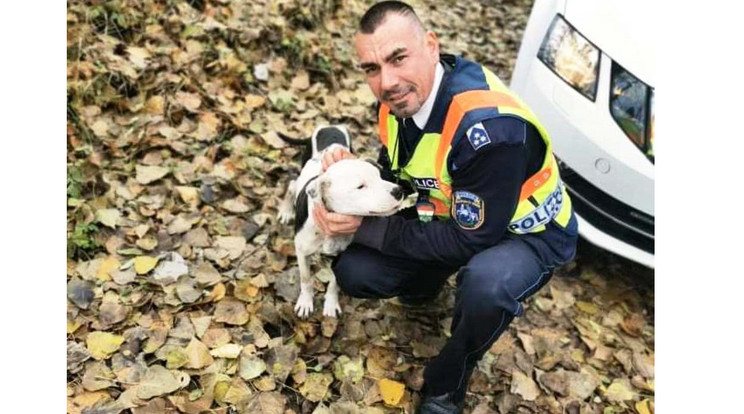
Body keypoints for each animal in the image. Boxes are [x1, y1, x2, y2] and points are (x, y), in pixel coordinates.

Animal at [278, 126, 404, 316]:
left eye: (380, 177)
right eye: (360, 186)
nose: (399, 190)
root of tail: (329, 127)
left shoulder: (340, 258)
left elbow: (334, 283)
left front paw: (331, 304)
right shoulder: (302, 252)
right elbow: (306, 279)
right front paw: (305, 302)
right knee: (292, 184)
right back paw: (286, 210)